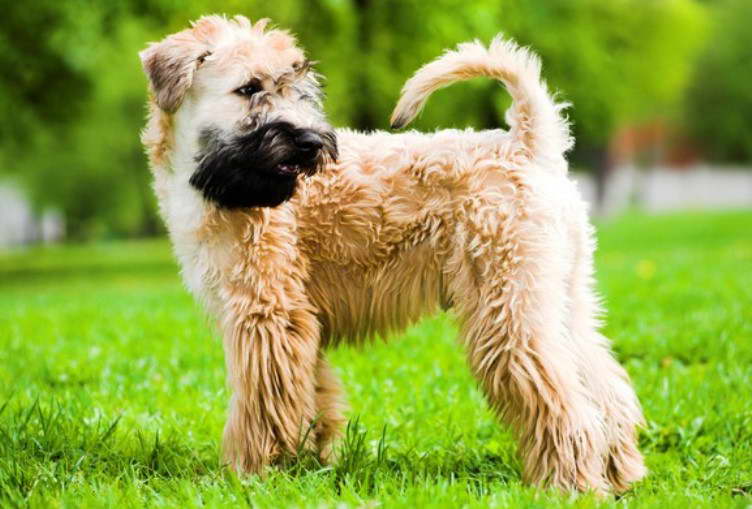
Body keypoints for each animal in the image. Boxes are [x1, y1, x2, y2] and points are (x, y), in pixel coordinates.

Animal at [140, 15, 648, 492]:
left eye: (298, 87)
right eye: (248, 88)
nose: (311, 143)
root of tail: (526, 146)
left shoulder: (266, 314)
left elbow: (259, 403)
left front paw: (247, 472)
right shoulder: (299, 321)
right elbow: (309, 396)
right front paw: (308, 464)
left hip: (506, 312)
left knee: (564, 399)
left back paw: (570, 482)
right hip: (561, 299)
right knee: (603, 388)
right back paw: (621, 473)